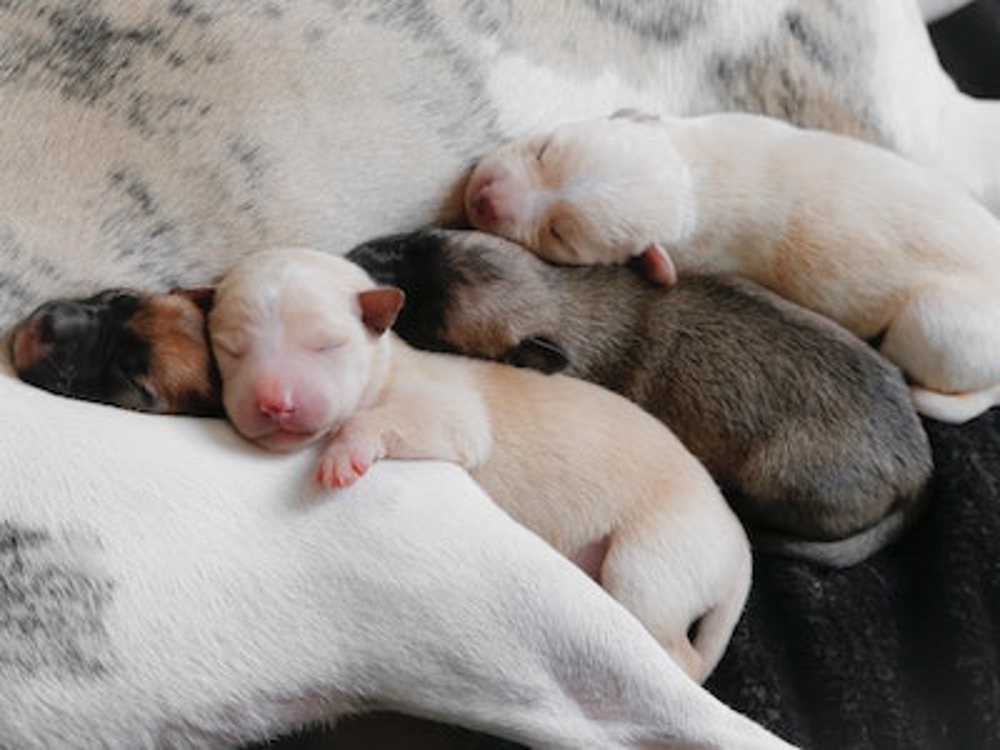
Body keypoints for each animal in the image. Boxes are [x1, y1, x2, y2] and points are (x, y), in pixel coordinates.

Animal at [213, 248, 756, 688]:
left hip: (654, 559)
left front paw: (345, 451)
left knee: (678, 652)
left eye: (326, 345)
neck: (386, 366)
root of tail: (739, 543)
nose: (274, 403)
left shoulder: (451, 414)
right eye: (230, 349)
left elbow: (389, 421)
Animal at [348, 229, 932, 568]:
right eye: (417, 241)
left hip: (780, 476)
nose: (357, 254)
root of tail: (919, 472)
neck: (567, 302)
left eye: (429, 323)